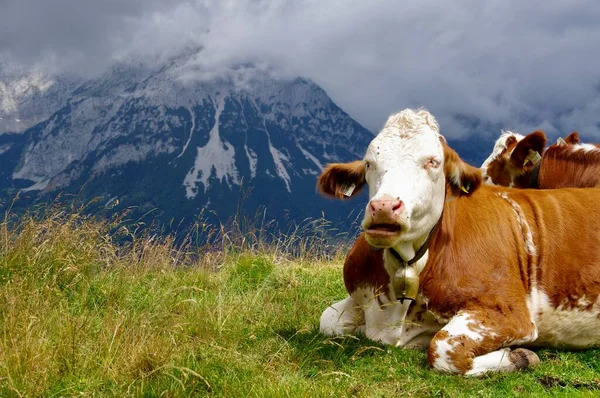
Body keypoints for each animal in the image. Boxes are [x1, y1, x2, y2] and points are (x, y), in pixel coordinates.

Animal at [316, 109, 600, 376]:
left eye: (433, 161)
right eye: (368, 163)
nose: (384, 207)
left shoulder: (510, 313)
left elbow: (442, 348)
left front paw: (520, 356)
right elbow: (327, 319)